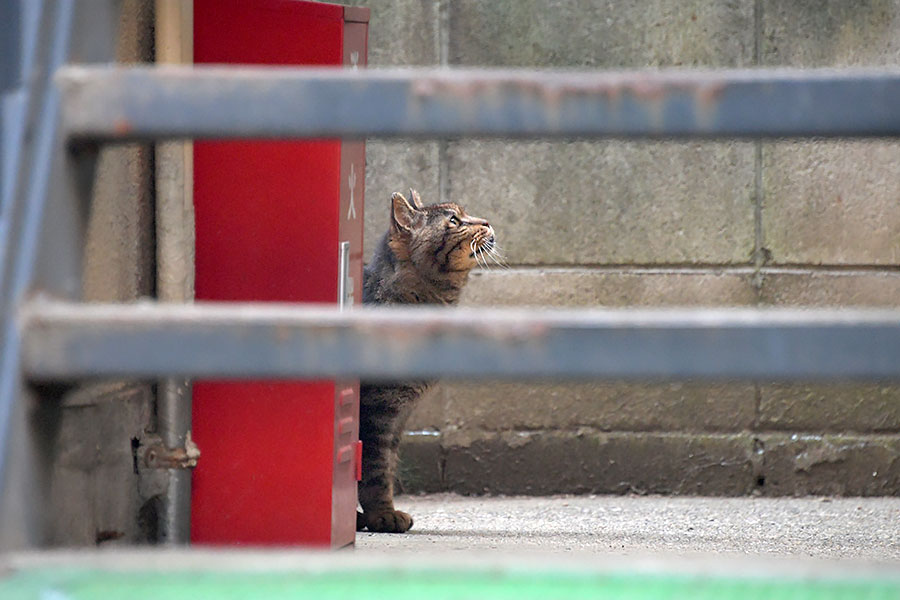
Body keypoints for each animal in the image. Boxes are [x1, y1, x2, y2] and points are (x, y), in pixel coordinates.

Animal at [358, 190, 500, 532]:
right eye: (454, 220)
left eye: (464, 214)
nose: (488, 222)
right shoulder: (377, 409)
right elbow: (374, 468)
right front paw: (381, 514)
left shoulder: (400, 414)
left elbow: (388, 463)